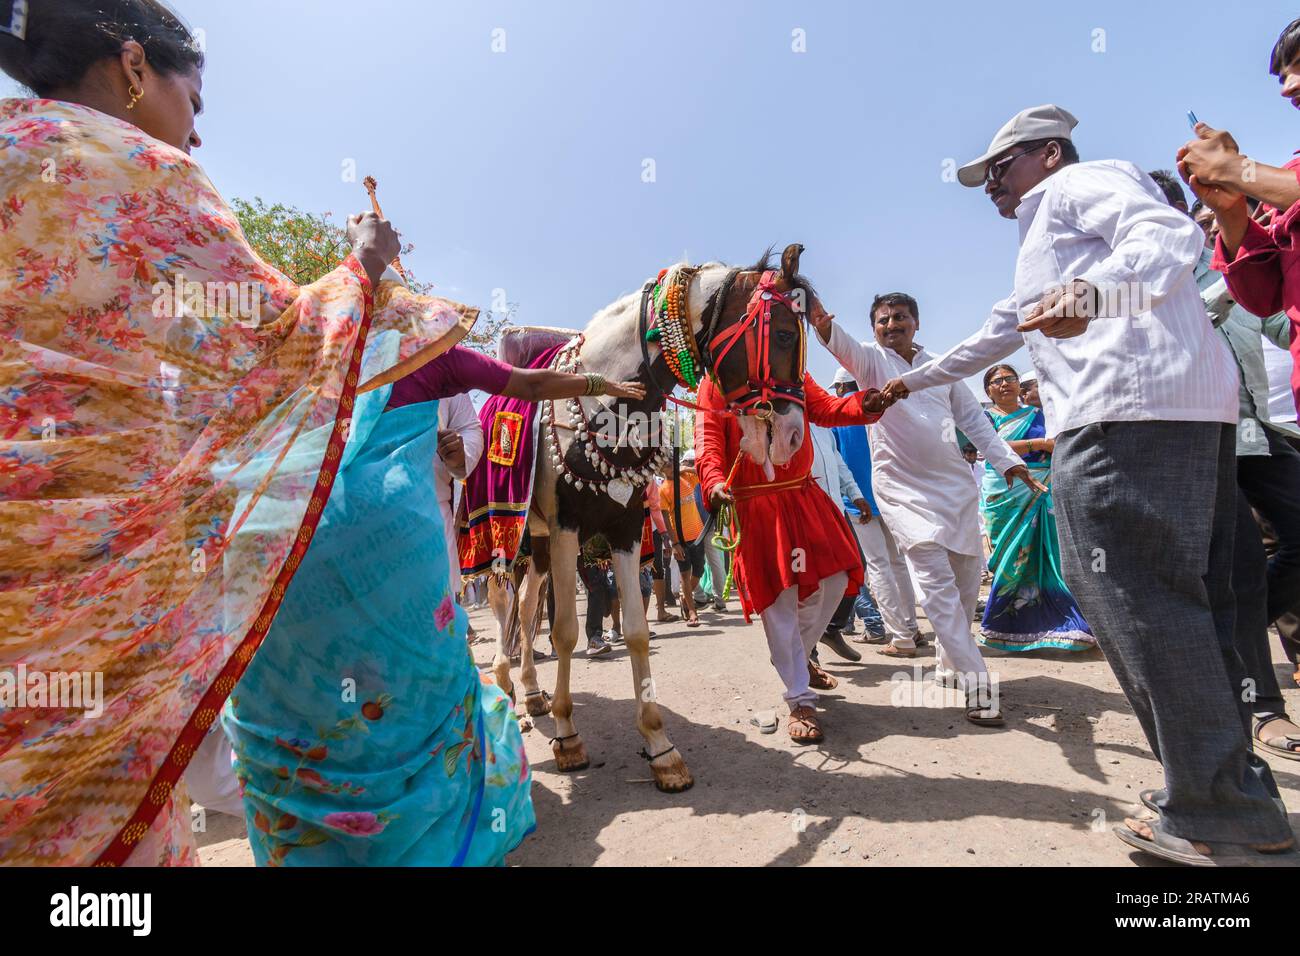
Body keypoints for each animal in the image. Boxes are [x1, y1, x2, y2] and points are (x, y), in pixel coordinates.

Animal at [462, 243, 816, 790]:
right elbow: (565, 631)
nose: (794, 434)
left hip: (537, 543)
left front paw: (659, 745)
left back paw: (533, 693)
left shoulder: (626, 531)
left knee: (526, 604)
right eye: (782, 333)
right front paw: (568, 737)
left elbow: (635, 631)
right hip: (510, 536)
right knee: (506, 606)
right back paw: (508, 691)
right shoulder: (567, 529)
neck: (609, 401)